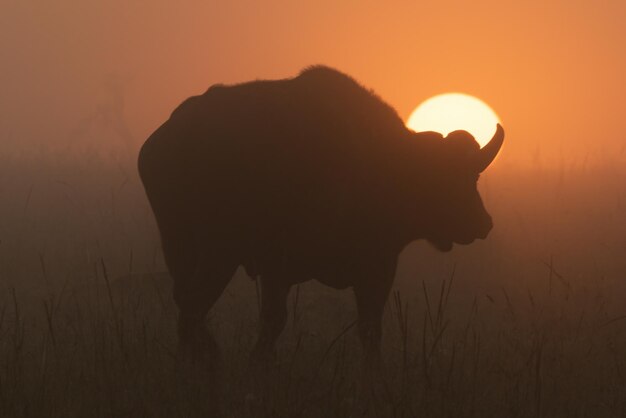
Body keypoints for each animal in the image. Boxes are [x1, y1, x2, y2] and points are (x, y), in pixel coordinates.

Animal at [136, 64, 502, 362]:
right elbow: (276, 321)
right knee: (192, 305)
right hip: (217, 252)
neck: (383, 164)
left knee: (185, 303)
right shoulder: (280, 265)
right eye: (449, 178)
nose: (482, 223)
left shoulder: (374, 266)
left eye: (473, 175)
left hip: (182, 249)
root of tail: (162, 142)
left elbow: (368, 327)